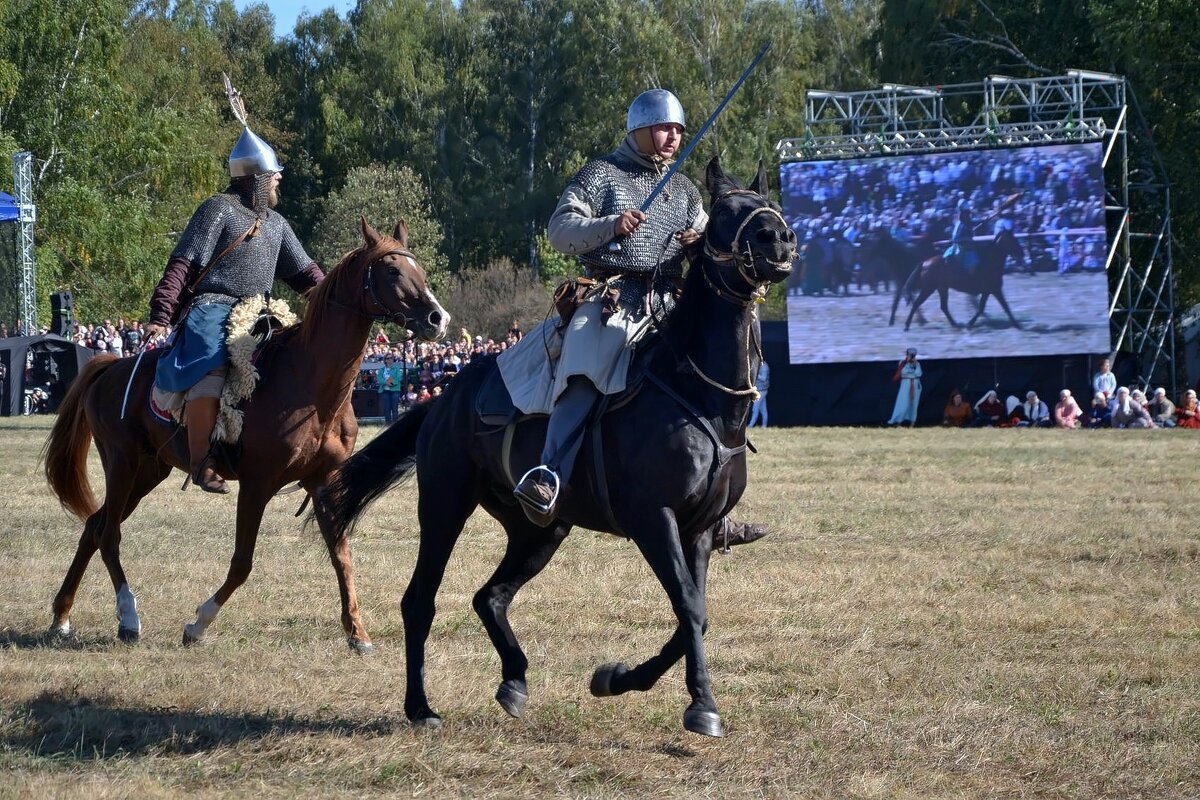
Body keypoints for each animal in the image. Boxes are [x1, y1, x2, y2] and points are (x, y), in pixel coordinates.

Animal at [43, 219, 451, 652]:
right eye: (391, 271)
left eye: (419, 270)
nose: (437, 319)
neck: (309, 383)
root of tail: (112, 368)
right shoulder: (257, 484)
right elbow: (242, 563)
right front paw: (198, 624)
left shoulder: (324, 482)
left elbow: (342, 555)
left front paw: (357, 632)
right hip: (122, 463)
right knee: (108, 534)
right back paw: (128, 617)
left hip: (148, 471)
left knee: (94, 527)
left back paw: (61, 617)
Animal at [888, 227, 1027, 331]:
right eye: (1011, 239)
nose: (1021, 252)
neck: (990, 261)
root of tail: (924, 263)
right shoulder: (994, 290)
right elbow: (1001, 307)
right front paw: (1017, 325)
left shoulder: (989, 291)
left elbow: (985, 307)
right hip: (929, 289)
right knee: (917, 303)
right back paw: (907, 325)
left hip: (942, 288)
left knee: (943, 307)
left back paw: (954, 324)